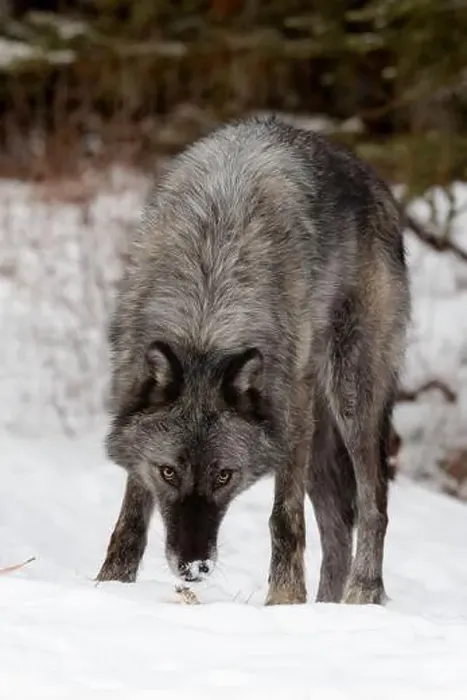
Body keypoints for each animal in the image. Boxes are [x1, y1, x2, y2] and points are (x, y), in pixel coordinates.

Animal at [96, 115, 409, 606]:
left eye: (225, 476)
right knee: (339, 525)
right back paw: (327, 609)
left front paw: (284, 601)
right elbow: (130, 518)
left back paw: (361, 596)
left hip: (349, 400)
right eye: (168, 472)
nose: (194, 568)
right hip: (320, 436)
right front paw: (109, 586)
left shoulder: (289, 418)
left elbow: (285, 519)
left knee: (373, 504)